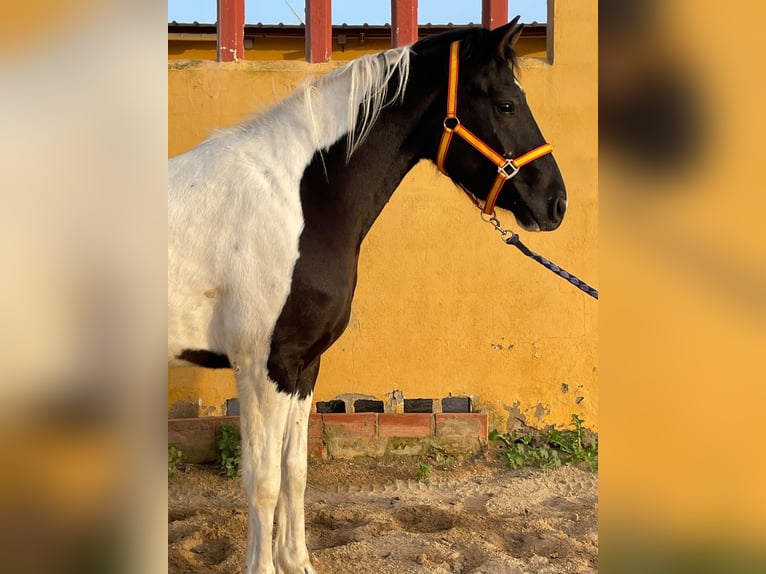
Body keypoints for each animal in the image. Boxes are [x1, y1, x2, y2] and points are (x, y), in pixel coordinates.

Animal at [168, 19, 568, 574]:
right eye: (506, 103)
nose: (556, 202)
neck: (296, 200)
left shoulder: (302, 367)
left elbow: (295, 471)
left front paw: (297, 562)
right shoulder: (262, 366)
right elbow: (262, 481)